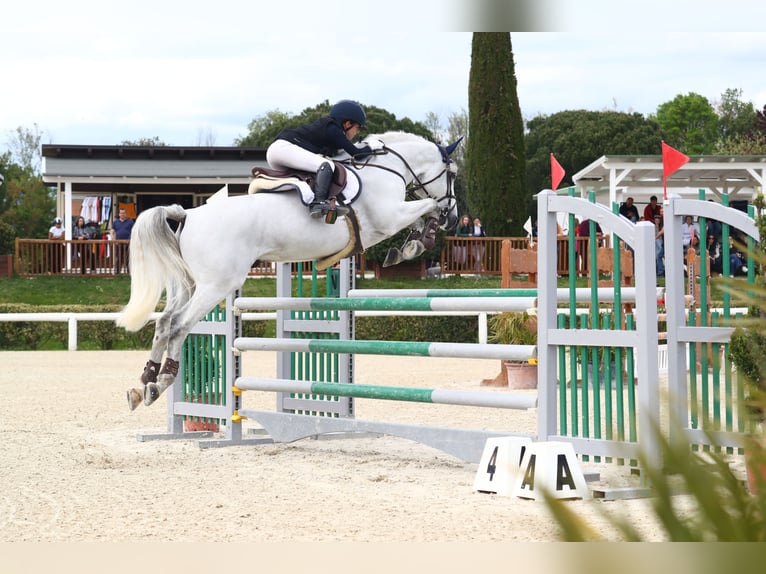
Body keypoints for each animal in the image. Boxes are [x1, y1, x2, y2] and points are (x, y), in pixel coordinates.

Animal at [117, 132, 460, 410]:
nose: (454, 218)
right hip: (216, 285)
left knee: (164, 323)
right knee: (179, 326)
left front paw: (412, 244)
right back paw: (163, 381)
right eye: (454, 174)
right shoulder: (388, 218)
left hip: (187, 284)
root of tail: (186, 214)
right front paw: (419, 242)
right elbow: (428, 206)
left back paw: (145, 383)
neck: (386, 169)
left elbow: (422, 213)